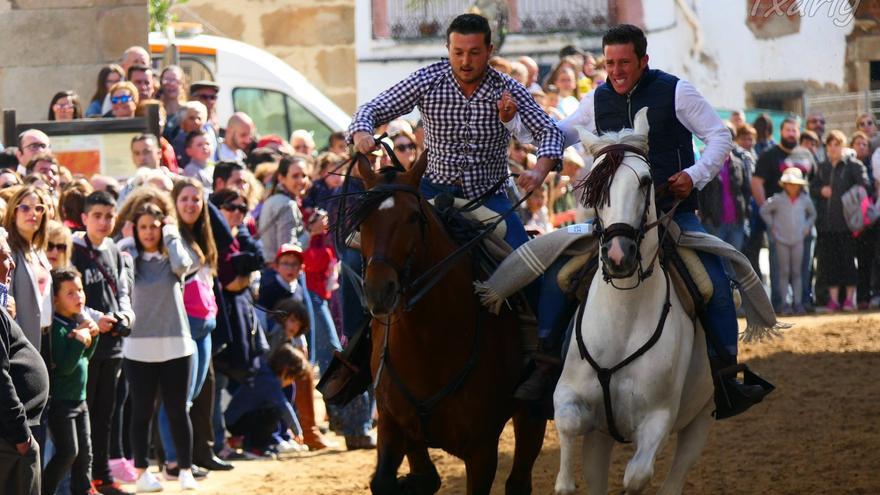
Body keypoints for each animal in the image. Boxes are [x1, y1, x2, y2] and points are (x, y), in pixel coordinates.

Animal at [348, 152, 544, 495]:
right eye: (361, 221)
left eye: (413, 217)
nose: (378, 291)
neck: (428, 343)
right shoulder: (392, 422)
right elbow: (397, 479)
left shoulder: (482, 449)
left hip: (531, 414)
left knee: (519, 481)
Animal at [556, 109, 716, 495]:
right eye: (596, 185)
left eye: (645, 181)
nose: (618, 255)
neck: (622, 319)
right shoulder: (570, 394)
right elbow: (568, 422)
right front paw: (564, 482)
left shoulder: (658, 418)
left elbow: (636, 476)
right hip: (601, 439)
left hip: (701, 418)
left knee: (674, 477)